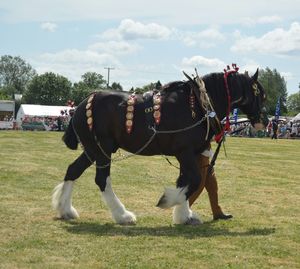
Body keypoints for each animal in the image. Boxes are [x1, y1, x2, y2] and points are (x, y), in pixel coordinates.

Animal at [51, 67, 268, 224]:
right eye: (260, 94)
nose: (265, 121)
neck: (199, 104)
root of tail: (83, 104)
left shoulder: (191, 154)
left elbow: (186, 181)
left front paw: (184, 214)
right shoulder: (184, 151)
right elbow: (194, 180)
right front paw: (171, 203)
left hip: (92, 149)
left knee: (73, 170)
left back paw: (66, 210)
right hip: (102, 149)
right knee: (102, 179)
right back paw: (123, 215)